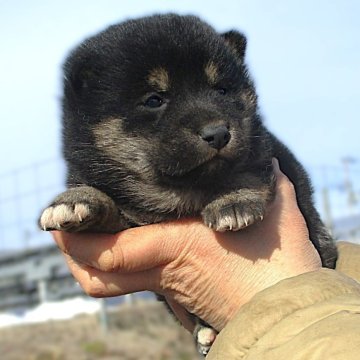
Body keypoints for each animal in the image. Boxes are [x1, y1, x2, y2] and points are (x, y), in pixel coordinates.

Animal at [40, 13, 338, 354]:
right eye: (154, 99)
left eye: (221, 91)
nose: (218, 133)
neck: (177, 191)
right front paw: (75, 200)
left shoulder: (262, 147)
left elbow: (245, 169)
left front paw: (233, 201)